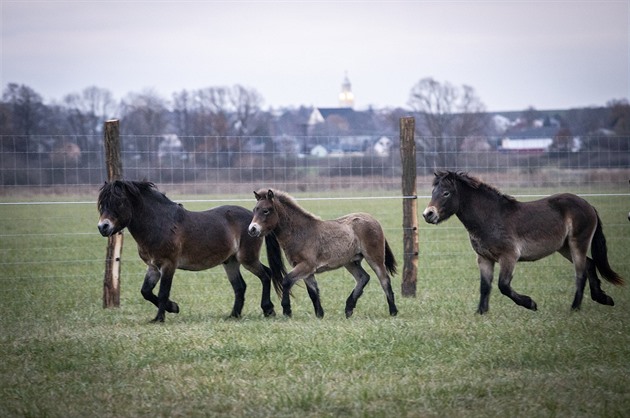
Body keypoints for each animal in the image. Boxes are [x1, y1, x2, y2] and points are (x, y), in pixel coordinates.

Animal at [97, 180, 286, 324]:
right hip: (230, 261)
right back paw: (234, 315)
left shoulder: (168, 265)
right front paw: (173, 307)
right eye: (101, 204)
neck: (160, 224)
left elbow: (163, 292)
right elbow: (146, 292)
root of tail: (255, 222)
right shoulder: (153, 266)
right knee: (240, 287)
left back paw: (268, 309)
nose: (102, 227)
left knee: (266, 275)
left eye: (118, 202)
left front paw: (160, 317)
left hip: (247, 258)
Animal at [248, 188, 400, 318]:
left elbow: (286, 281)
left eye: (266, 211)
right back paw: (348, 309)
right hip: (350, 262)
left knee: (384, 279)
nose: (252, 229)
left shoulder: (306, 266)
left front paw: (287, 311)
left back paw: (393, 311)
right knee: (363, 277)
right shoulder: (306, 270)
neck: (301, 232)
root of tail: (373, 220)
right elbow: (313, 292)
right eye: (255, 210)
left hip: (374, 257)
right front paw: (319, 315)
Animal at [422, 170, 624, 314]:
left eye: (446, 193)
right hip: (564, 247)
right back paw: (603, 299)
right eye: (433, 192)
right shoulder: (484, 259)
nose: (428, 214)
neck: (491, 218)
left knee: (580, 274)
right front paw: (480, 313)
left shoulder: (509, 256)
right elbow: (485, 287)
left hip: (577, 244)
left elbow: (503, 285)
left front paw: (530, 303)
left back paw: (574, 308)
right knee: (590, 265)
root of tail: (587, 204)